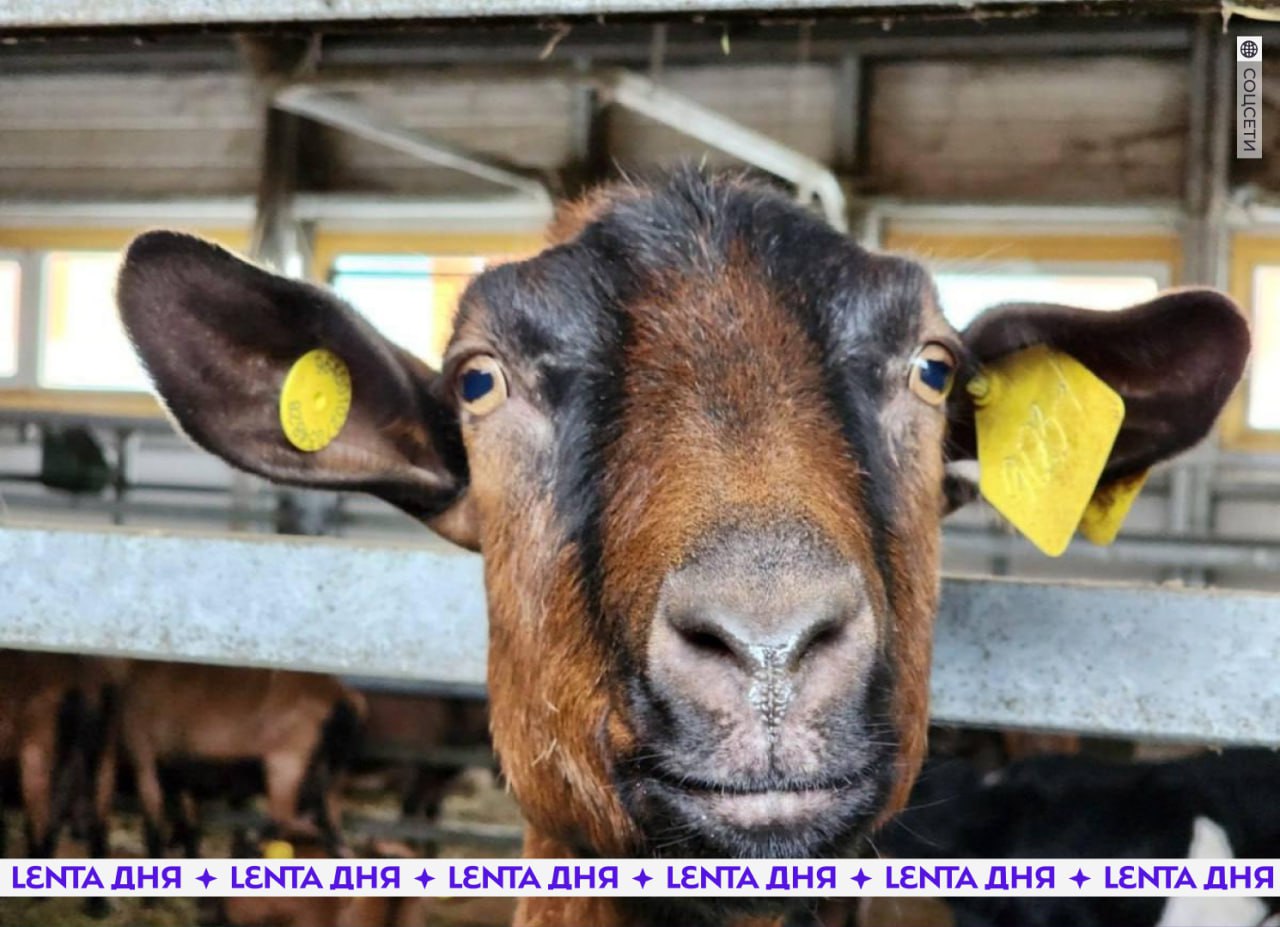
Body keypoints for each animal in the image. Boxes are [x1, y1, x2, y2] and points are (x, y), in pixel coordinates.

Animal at [116, 660, 366, 860]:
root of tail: (342, 699)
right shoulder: (184, 778)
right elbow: (190, 830)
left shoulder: (145, 760)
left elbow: (153, 829)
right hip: (331, 775)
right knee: (331, 832)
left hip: (287, 766)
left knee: (292, 823)